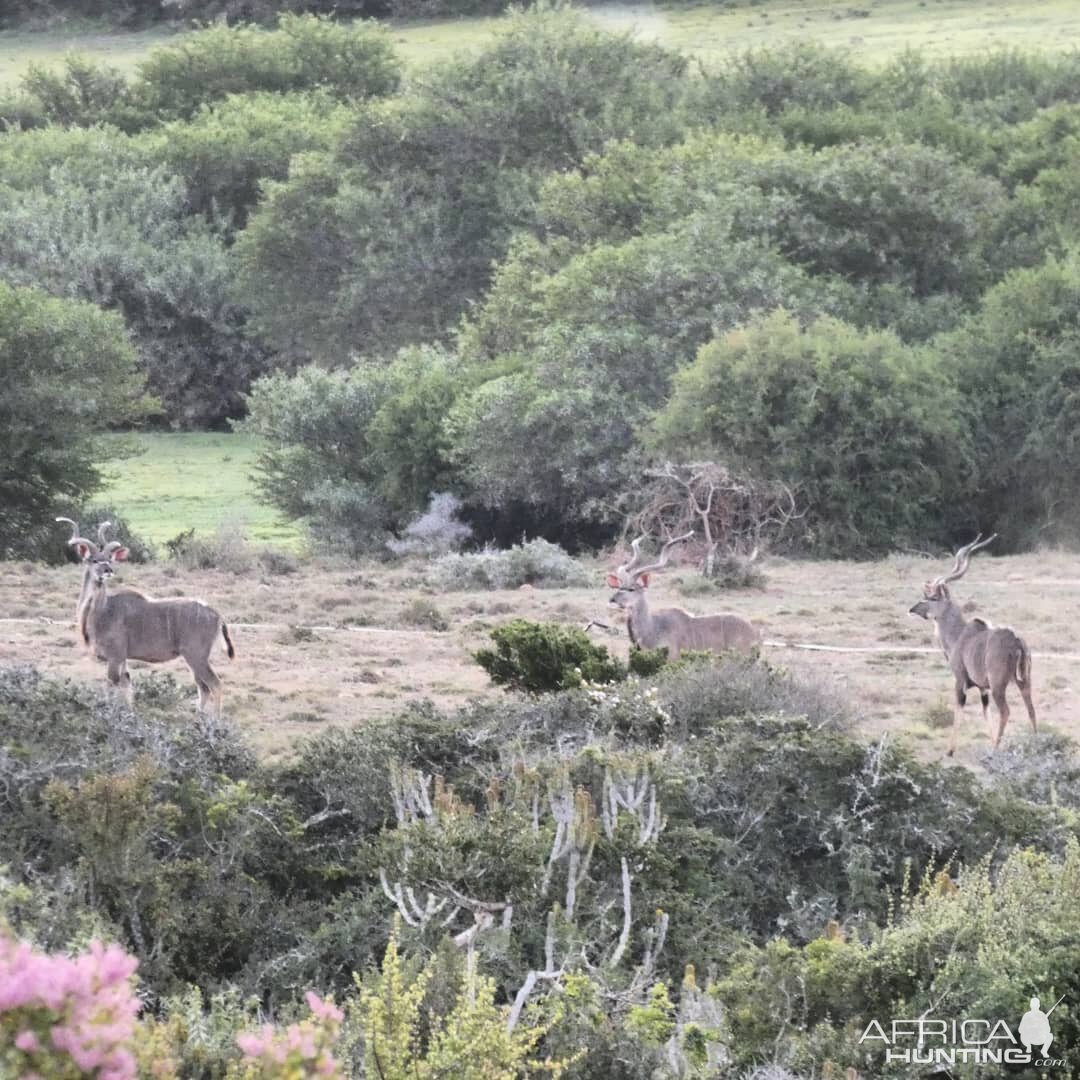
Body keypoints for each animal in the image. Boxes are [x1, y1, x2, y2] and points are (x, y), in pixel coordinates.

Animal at [56, 516, 234, 717]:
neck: (103, 611)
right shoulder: (122, 659)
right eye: (94, 560)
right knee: (203, 688)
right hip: (195, 659)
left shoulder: (114, 657)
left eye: (109, 559)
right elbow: (126, 685)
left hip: (196, 656)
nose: (108, 570)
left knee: (215, 685)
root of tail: (217, 615)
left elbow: (112, 687)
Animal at [911, 533, 1036, 756]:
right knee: (1031, 709)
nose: (913, 608)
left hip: (999, 685)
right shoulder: (982, 688)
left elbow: (959, 708)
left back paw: (996, 750)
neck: (958, 635)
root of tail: (1016, 640)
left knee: (1005, 711)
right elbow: (985, 711)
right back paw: (1037, 744)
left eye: (932, 597)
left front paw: (950, 750)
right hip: (1023, 682)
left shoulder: (960, 680)